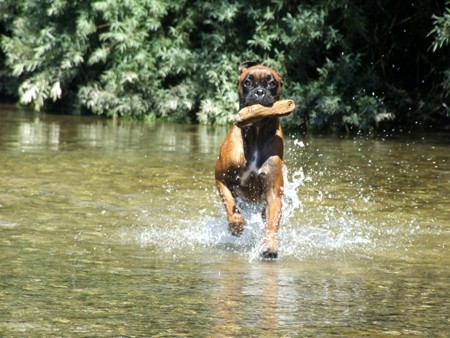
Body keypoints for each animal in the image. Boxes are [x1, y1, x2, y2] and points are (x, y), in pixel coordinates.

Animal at [215, 62, 284, 258]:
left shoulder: (273, 193)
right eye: (247, 82)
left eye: (272, 83)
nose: (259, 92)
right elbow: (229, 202)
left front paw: (269, 246)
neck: (256, 132)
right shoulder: (220, 179)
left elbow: (272, 222)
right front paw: (236, 224)